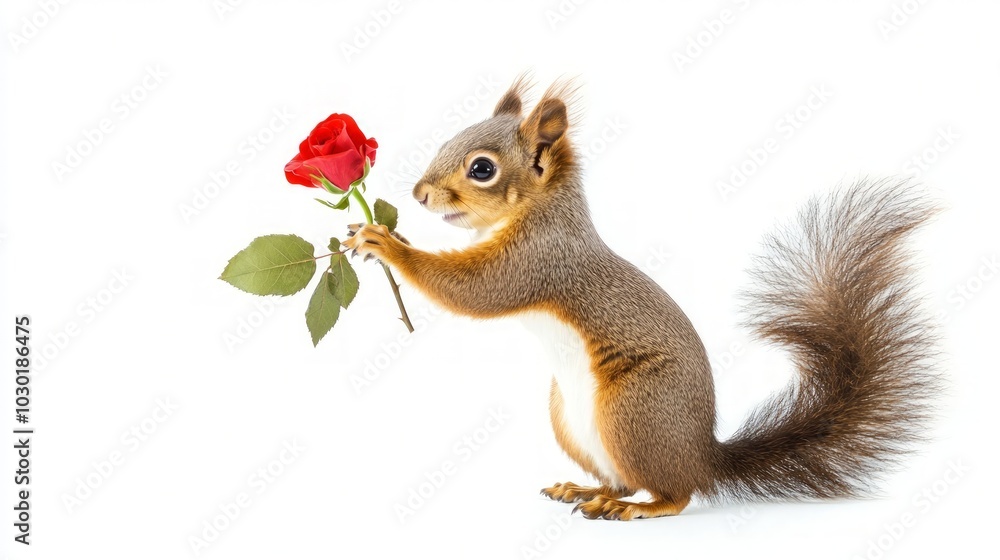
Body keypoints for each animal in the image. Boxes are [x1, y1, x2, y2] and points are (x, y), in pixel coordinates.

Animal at [343, 78, 939, 520]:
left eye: (482, 168)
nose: (419, 194)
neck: (540, 211)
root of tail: (703, 457)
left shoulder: (539, 261)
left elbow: (477, 291)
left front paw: (388, 245)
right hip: (571, 420)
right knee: (622, 480)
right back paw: (587, 492)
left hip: (635, 411)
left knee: (673, 493)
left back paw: (642, 507)